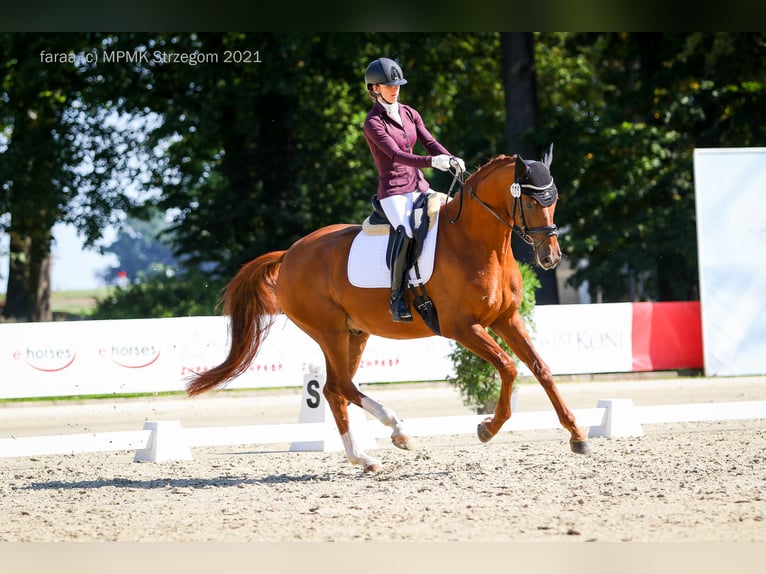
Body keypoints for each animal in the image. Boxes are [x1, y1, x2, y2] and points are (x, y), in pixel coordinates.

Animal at [186, 147, 592, 472]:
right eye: (531, 202)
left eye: (554, 200)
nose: (550, 258)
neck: (476, 243)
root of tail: (289, 254)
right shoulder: (462, 327)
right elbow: (508, 367)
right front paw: (487, 428)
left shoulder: (506, 319)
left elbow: (540, 368)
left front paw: (577, 435)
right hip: (330, 331)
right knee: (341, 385)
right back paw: (398, 432)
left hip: (355, 333)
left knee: (334, 389)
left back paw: (364, 458)